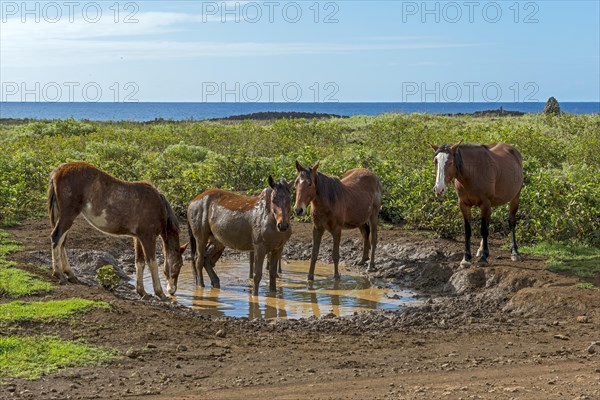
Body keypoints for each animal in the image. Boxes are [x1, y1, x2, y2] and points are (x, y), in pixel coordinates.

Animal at [47, 161, 185, 298]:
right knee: (56, 238)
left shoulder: (138, 238)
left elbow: (139, 262)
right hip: (68, 215)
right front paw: (159, 293)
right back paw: (59, 275)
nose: (172, 290)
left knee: (62, 242)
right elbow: (152, 263)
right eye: (179, 264)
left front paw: (142, 291)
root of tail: (59, 170)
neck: (158, 206)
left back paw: (70, 275)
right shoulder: (148, 238)